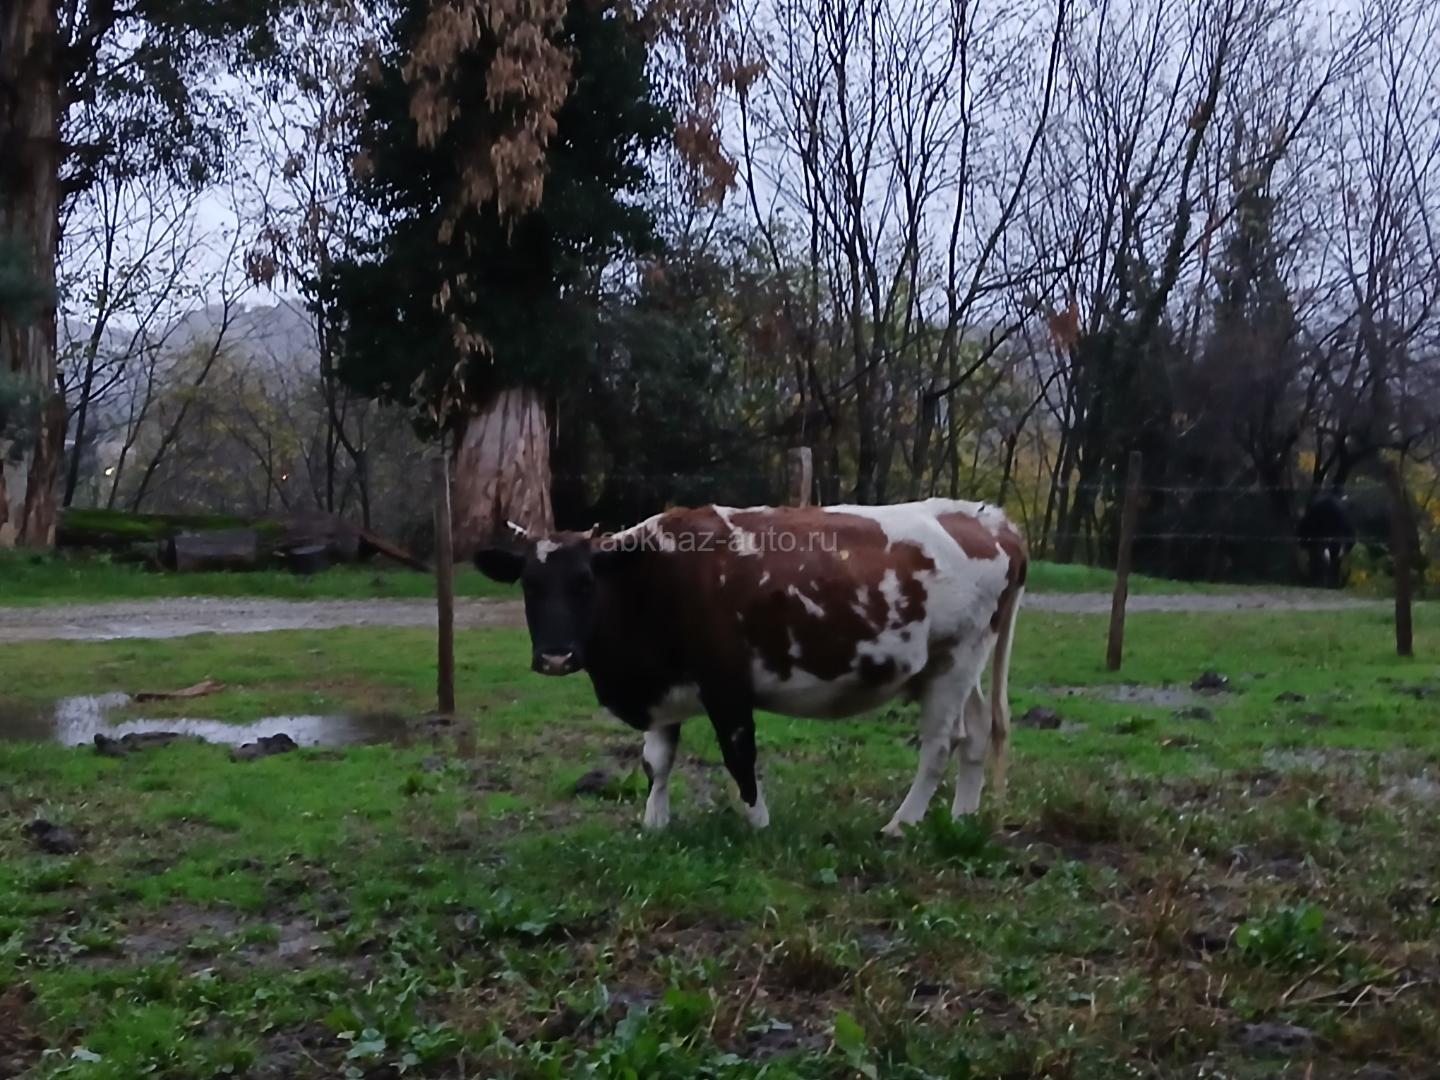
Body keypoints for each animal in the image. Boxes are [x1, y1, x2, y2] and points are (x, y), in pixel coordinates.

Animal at [474, 499, 1027, 837]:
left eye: (585, 583)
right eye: (529, 586)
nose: (555, 656)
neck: (654, 576)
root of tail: (990, 519)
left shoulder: (726, 687)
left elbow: (740, 757)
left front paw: (759, 825)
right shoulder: (664, 688)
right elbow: (657, 761)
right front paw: (654, 824)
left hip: (957, 657)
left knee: (940, 744)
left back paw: (901, 824)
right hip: (954, 664)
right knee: (977, 732)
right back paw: (961, 817)